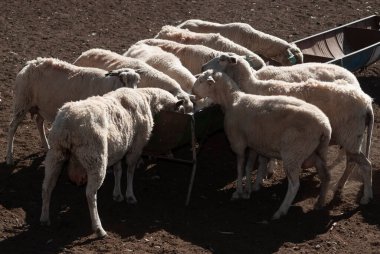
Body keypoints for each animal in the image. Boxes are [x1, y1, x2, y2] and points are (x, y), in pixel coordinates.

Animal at [5, 56, 140, 166]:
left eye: (137, 82)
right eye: (123, 79)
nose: (133, 94)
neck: (110, 87)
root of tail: (30, 64)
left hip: (41, 105)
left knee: (39, 122)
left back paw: (46, 146)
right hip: (22, 102)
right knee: (12, 127)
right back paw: (9, 158)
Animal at [40, 87, 186, 238]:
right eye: (181, 112)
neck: (147, 99)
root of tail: (69, 121)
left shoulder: (120, 147)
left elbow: (118, 171)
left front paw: (117, 194)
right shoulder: (136, 148)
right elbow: (130, 171)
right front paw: (129, 195)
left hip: (55, 154)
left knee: (46, 187)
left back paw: (44, 218)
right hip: (95, 160)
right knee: (90, 194)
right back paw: (99, 228)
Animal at [191, 69, 332, 218]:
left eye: (201, 81)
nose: (192, 92)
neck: (232, 100)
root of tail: (325, 126)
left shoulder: (238, 143)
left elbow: (240, 168)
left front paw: (238, 192)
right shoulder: (255, 144)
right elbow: (249, 167)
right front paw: (249, 190)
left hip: (293, 153)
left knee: (294, 185)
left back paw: (280, 211)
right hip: (318, 152)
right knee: (326, 176)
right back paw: (320, 202)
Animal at [202, 54, 374, 204]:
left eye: (222, 59)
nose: (203, 67)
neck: (251, 87)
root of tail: (367, 103)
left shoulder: (261, 131)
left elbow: (263, 160)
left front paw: (259, 180)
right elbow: (262, 159)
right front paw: (260, 179)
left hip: (350, 136)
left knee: (360, 164)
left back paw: (364, 196)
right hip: (353, 137)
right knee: (351, 161)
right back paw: (340, 185)